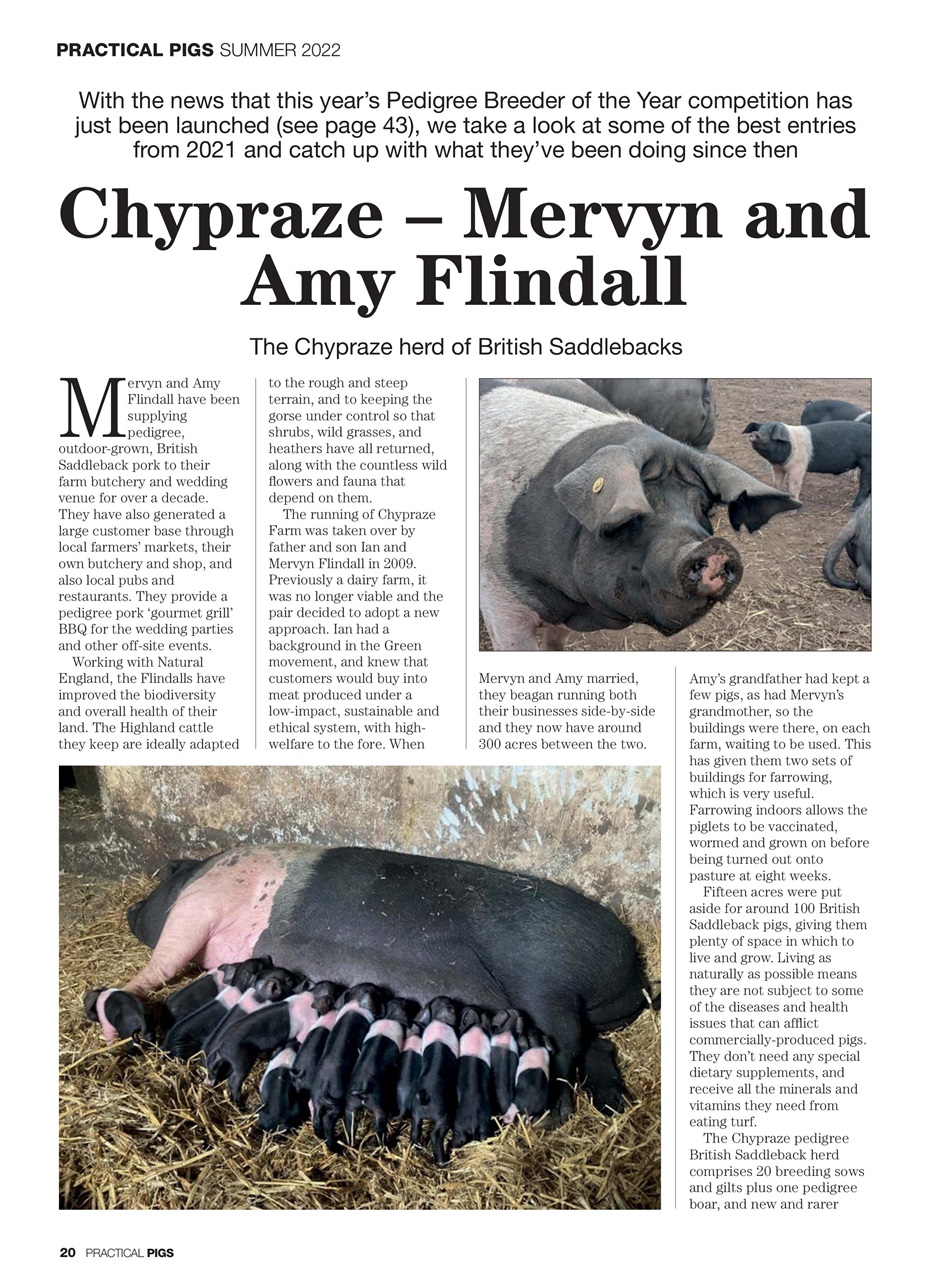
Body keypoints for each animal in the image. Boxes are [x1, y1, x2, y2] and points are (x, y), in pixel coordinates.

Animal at [111, 844, 655, 1126]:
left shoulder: (201, 899)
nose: (130, 907)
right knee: (597, 1048)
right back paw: (612, 1104)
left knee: (563, 1051)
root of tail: (633, 976)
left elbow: (166, 959)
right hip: (566, 1009)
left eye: (163, 877)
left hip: (546, 989)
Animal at [311, 984, 386, 1152]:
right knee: (328, 1119)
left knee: (317, 1118)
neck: (355, 1002)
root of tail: (324, 1086)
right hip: (337, 1098)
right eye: (377, 992)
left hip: (317, 1099)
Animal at [345, 998, 410, 1144]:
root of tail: (362, 1090)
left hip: (350, 1103)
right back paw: (382, 1144)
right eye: (403, 1004)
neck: (389, 1016)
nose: (405, 1000)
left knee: (350, 1123)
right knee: (379, 1126)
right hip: (377, 1104)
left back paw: (351, 1143)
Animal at [410, 997, 460, 1166]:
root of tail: (424, 1096)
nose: (452, 999)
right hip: (444, 1116)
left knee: (415, 1130)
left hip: (415, 1113)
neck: (439, 1019)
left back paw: (417, 1148)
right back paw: (443, 1162)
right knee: (436, 1136)